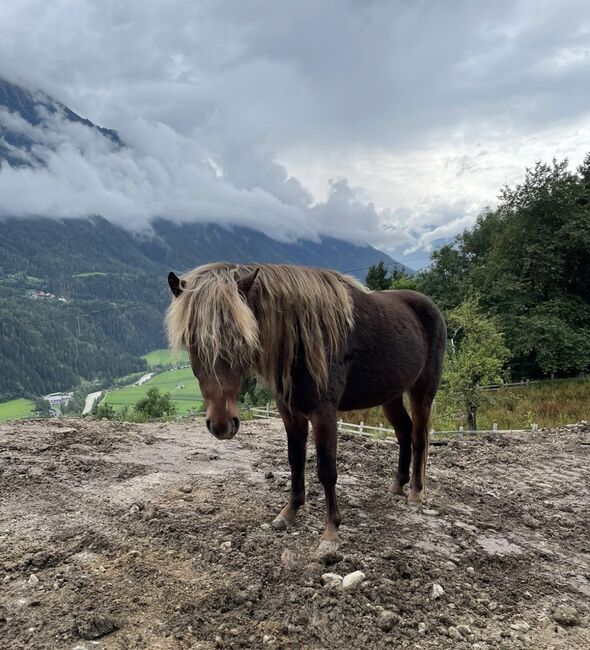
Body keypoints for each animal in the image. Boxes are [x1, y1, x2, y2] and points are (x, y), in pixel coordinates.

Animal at [169, 260, 446, 556]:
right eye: (190, 340)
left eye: (241, 338)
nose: (222, 424)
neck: (301, 337)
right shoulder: (290, 412)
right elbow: (295, 459)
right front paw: (289, 512)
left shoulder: (323, 414)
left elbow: (326, 470)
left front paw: (331, 532)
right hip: (390, 395)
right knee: (404, 433)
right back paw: (397, 485)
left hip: (422, 391)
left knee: (418, 437)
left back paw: (415, 492)